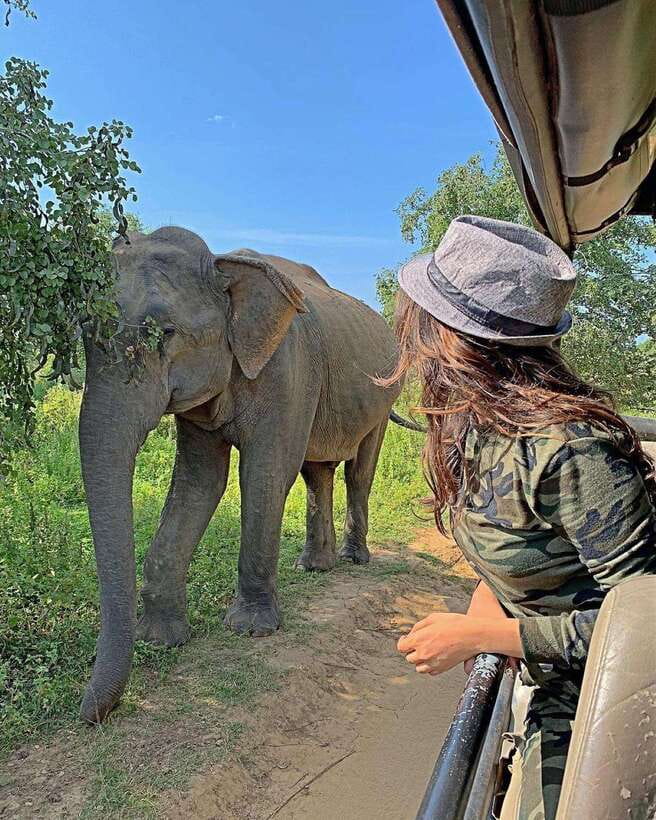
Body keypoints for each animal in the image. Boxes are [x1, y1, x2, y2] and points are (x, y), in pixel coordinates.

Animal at [78, 226, 402, 723]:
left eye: (166, 334)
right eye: (83, 332)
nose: (87, 711)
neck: (221, 264)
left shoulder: (288, 370)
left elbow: (266, 472)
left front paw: (250, 630)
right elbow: (199, 481)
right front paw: (161, 639)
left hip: (383, 397)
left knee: (358, 470)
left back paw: (354, 560)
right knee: (318, 472)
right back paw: (314, 567)